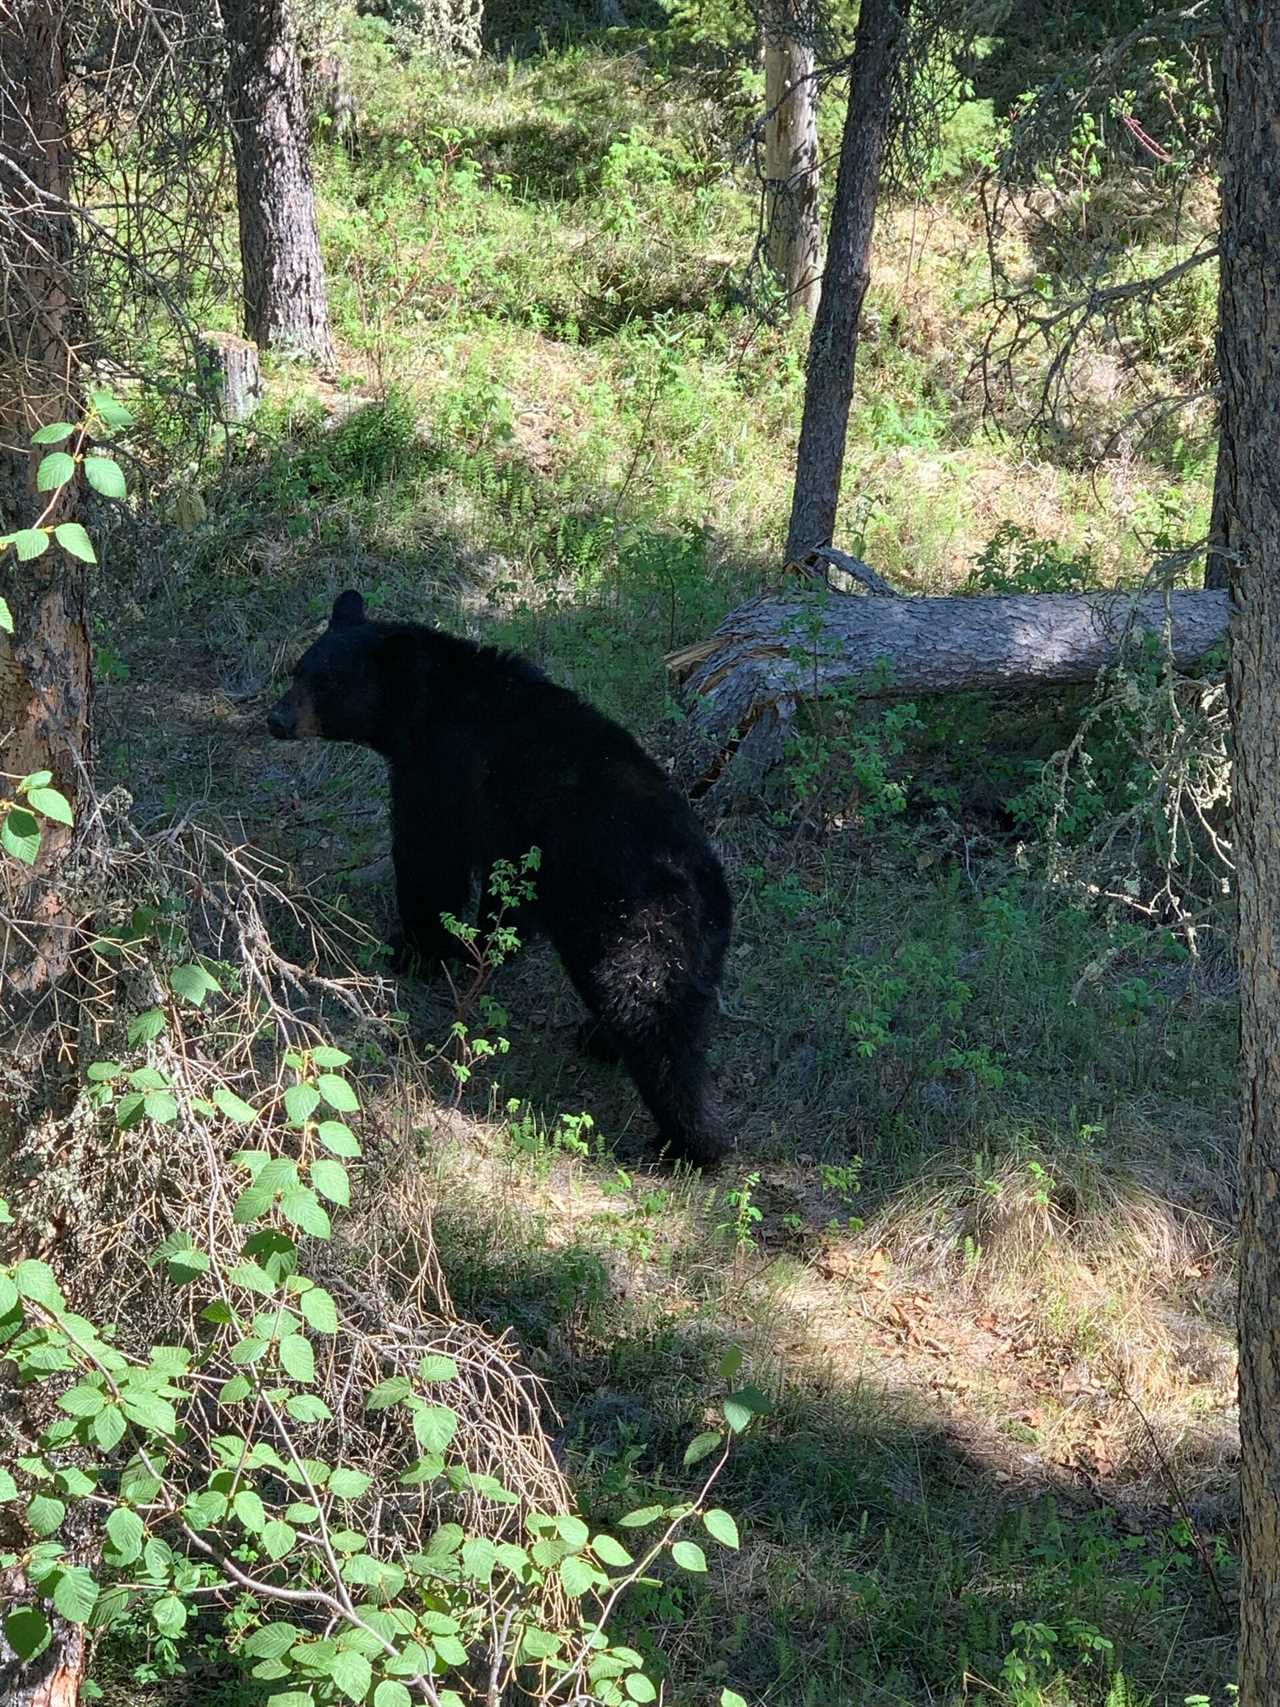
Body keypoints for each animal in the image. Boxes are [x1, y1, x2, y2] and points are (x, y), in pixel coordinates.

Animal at [267, 594, 730, 1167]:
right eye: (298, 670)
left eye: (328, 683)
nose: (276, 719)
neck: (430, 705)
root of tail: (707, 892)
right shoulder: (502, 830)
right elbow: (501, 894)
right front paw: (482, 947)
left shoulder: (443, 772)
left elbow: (429, 859)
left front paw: (415, 949)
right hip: (684, 955)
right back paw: (598, 1040)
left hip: (631, 929)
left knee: (653, 1023)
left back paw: (687, 1145)